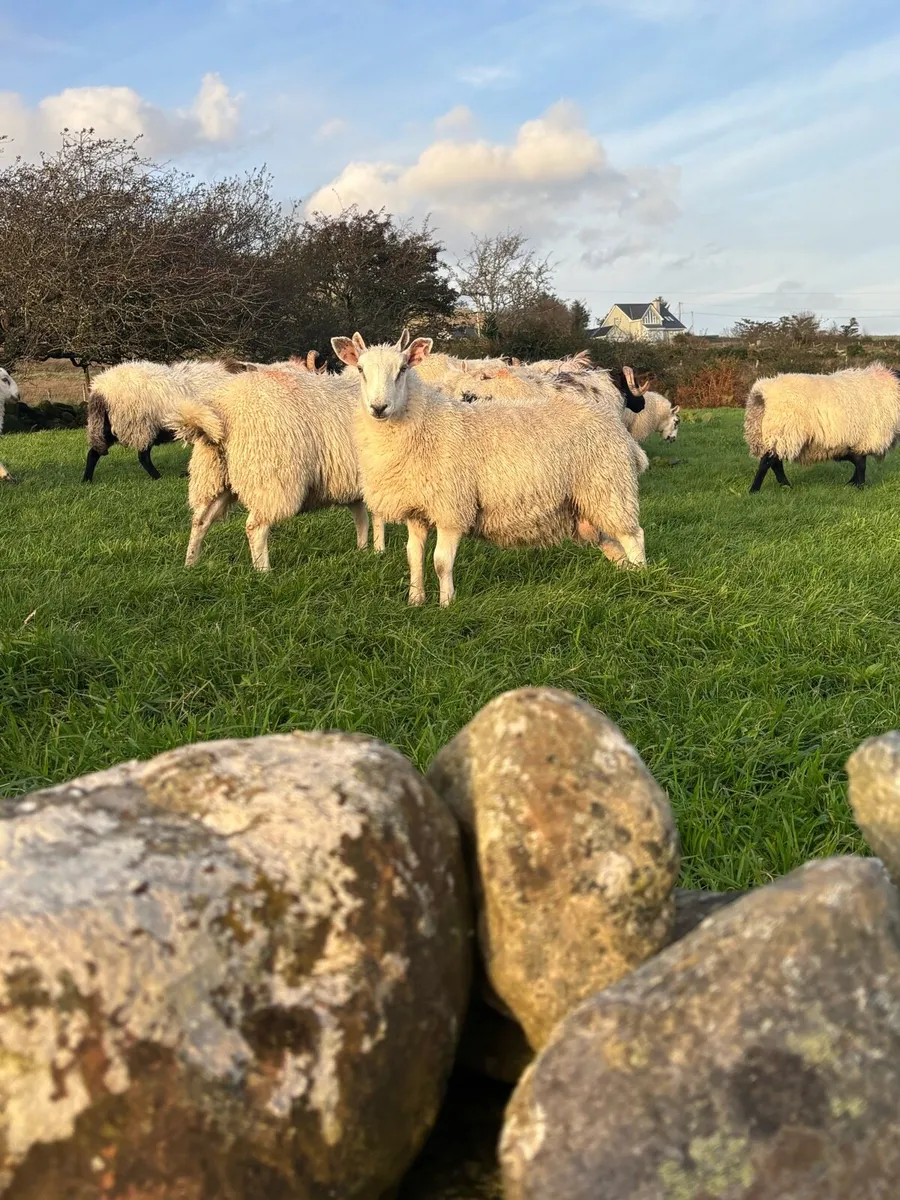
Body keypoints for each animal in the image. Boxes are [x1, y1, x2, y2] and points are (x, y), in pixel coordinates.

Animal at [84, 359, 234, 483]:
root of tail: (100, 389)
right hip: (139, 425)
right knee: (143, 456)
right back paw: (158, 477)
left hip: (110, 426)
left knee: (93, 452)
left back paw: (87, 480)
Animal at [167, 363, 383, 570]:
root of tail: (222, 408)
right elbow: (376, 517)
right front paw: (379, 552)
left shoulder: (354, 484)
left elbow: (361, 517)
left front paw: (363, 550)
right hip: (271, 477)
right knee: (255, 527)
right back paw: (263, 572)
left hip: (214, 477)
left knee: (200, 521)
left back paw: (190, 565)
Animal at [332, 332, 648, 606]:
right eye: (360, 369)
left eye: (402, 369)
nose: (379, 407)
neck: (428, 424)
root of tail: (617, 426)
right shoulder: (417, 510)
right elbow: (414, 557)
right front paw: (415, 600)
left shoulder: (452, 508)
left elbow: (440, 562)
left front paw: (446, 605)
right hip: (588, 504)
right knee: (613, 542)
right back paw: (625, 575)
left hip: (609, 487)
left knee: (634, 537)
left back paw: (641, 580)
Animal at [744, 363, 900, 491]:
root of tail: (763, 393)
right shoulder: (863, 438)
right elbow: (861, 464)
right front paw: (860, 486)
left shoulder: (854, 441)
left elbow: (857, 462)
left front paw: (852, 484)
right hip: (782, 431)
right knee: (768, 462)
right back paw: (755, 490)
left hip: (771, 434)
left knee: (775, 462)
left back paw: (785, 486)